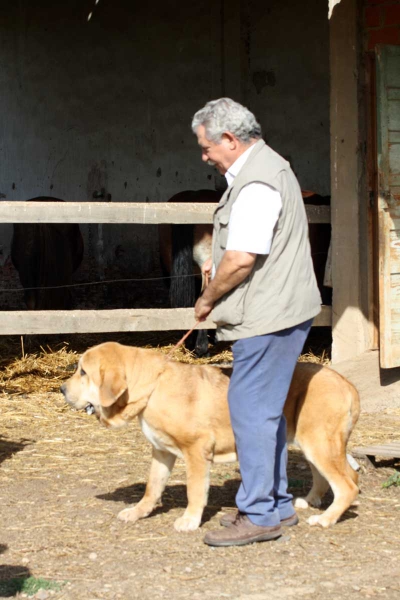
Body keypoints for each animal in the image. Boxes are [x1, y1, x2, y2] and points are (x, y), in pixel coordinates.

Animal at [61, 342, 360, 528]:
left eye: (83, 371)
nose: (62, 389)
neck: (152, 387)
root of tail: (347, 384)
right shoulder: (162, 452)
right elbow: (152, 487)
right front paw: (138, 512)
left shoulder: (196, 450)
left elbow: (194, 491)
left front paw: (189, 521)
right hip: (312, 446)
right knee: (329, 479)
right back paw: (308, 502)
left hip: (319, 445)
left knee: (347, 484)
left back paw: (326, 519)